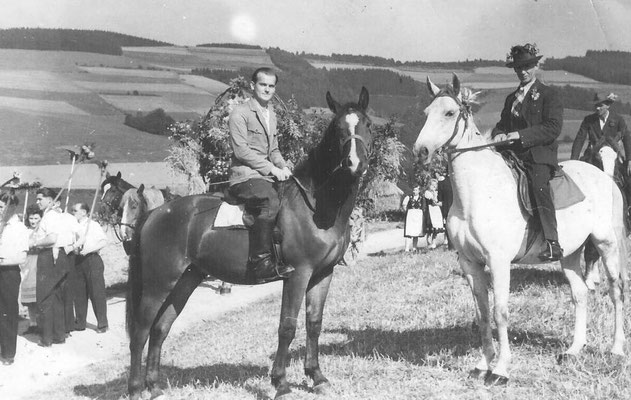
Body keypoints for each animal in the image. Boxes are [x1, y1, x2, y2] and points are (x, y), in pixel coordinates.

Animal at [129, 88, 376, 400]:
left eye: (367, 124)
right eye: (337, 128)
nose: (355, 164)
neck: (315, 205)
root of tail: (156, 213)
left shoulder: (323, 274)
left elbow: (314, 323)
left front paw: (317, 377)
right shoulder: (299, 274)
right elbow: (287, 326)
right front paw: (281, 383)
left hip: (185, 281)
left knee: (160, 329)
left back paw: (156, 386)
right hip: (158, 284)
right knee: (140, 331)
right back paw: (136, 389)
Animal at [414, 73, 628, 386]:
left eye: (450, 113)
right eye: (426, 112)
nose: (421, 152)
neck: (478, 192)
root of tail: (605, 178)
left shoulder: (498, 262)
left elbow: (500, 312)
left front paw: (501, 370)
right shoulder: (470, 263)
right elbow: (482, 314)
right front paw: (482, 364)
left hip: (606, 243)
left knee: (615, 291)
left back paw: (616, 349)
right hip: (569, 253)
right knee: (580, 294)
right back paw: (574, 349)